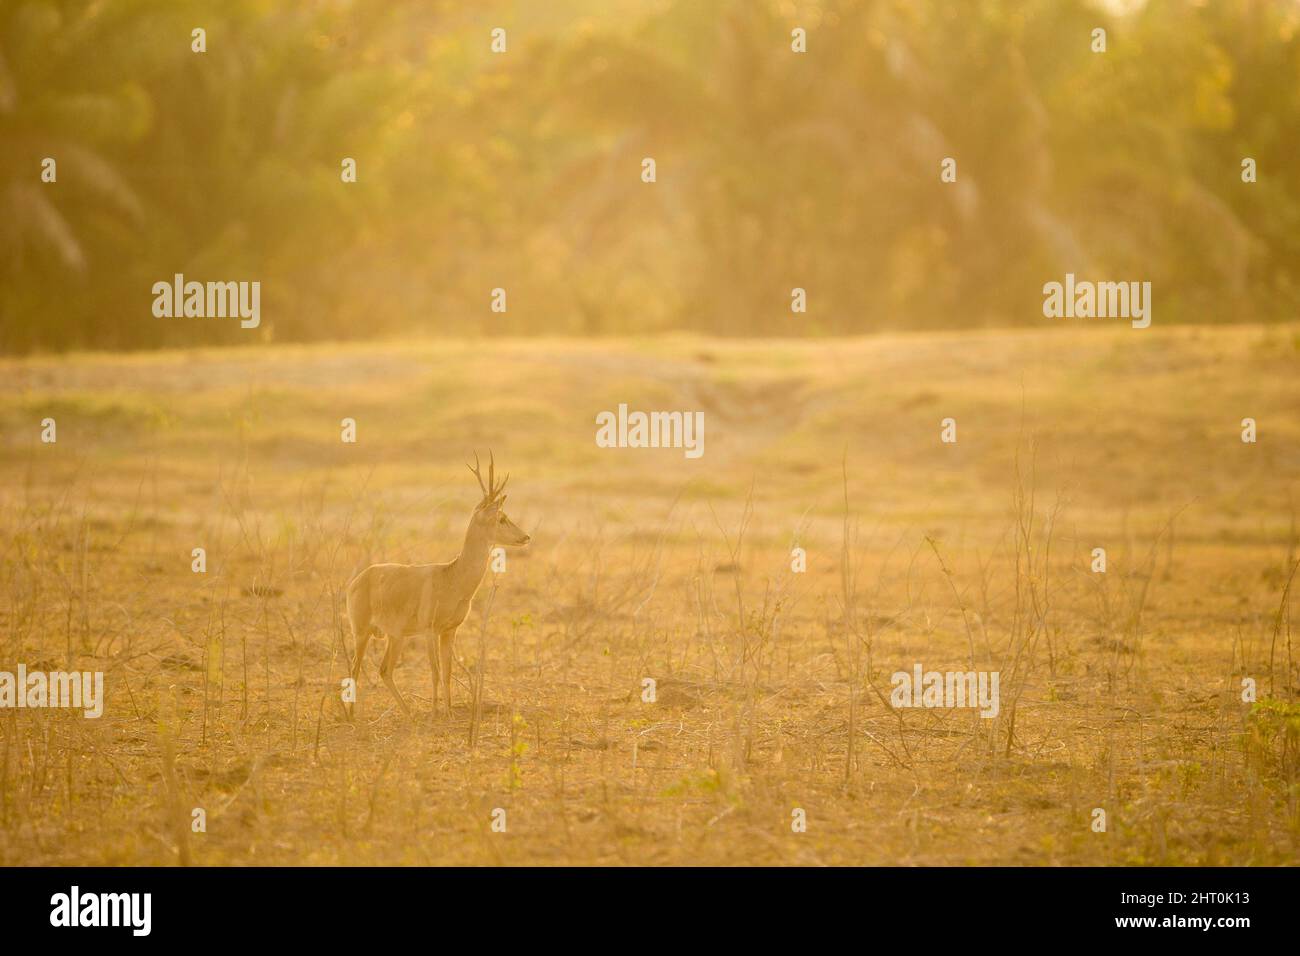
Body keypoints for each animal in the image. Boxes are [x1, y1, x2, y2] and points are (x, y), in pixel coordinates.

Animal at [345, 455, 533, 717]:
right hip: (361, 632)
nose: (525, 537)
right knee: (354, 669)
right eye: (501, 518)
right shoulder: (430, 631)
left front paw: (449, 711)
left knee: (384, 670)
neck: (453, 578)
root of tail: (357, 580)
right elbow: (434, 672)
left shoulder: (450, 631)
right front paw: (435, 712)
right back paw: (352, 716)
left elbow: (447, 673)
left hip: (395, 636)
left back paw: (408, 713)